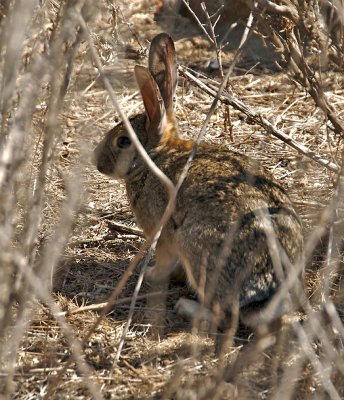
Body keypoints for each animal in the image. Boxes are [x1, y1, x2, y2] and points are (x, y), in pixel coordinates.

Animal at [94, 32, 304, 334]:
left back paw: (187, 307)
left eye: (123, 142)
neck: (156, 157)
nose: (98, 163)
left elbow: (165, 261)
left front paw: (151, 273)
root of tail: (264, 296)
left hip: (196, 245)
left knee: (223, 315)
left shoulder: (163, 233)